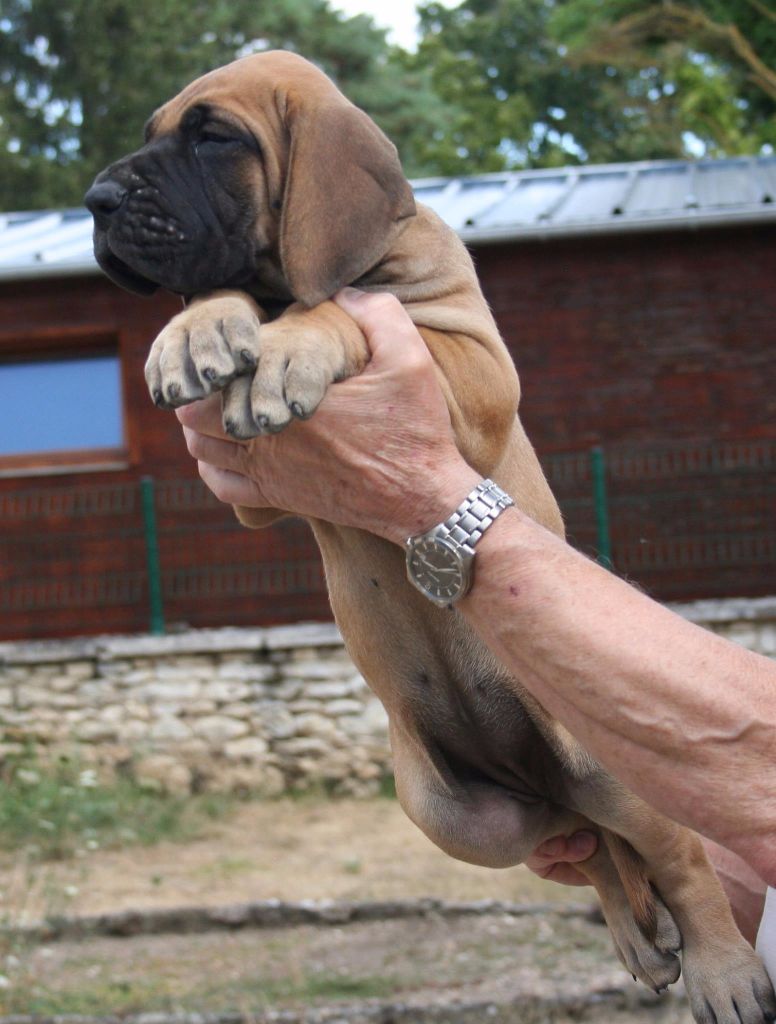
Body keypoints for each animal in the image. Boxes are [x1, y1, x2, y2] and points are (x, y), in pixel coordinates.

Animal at [86, 49, 776, 1024]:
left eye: (215, 137)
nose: (96, 200)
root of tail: (538, 773)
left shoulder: (473, 367)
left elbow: (352, 310)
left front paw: (295, 342)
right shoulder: (246, 488)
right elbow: (233, 301)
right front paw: (199, 326)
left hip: (604, 761)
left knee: (673, 852)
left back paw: (720, 965)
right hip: (455, 815)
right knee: (592, 842)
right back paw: (641, 937)